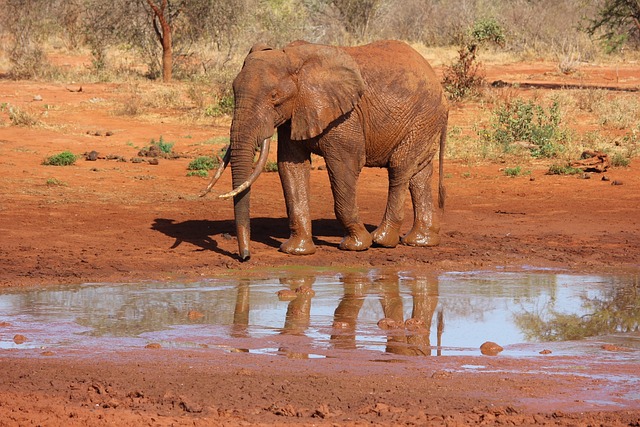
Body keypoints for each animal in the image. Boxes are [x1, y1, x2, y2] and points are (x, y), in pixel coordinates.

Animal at [202, 39, 448, 260]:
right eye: (234, 90)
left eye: (274, 96)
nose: (245, 257)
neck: (294, 60)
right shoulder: (296, 113)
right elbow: (291, 167)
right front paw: (296, 251)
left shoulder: (345, 117)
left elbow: (344, 166)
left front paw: (356, 245)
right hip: (425, 123)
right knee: (419, 175)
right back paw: (420, 241)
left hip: (422, 117)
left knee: (399, 168)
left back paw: (382, 240)